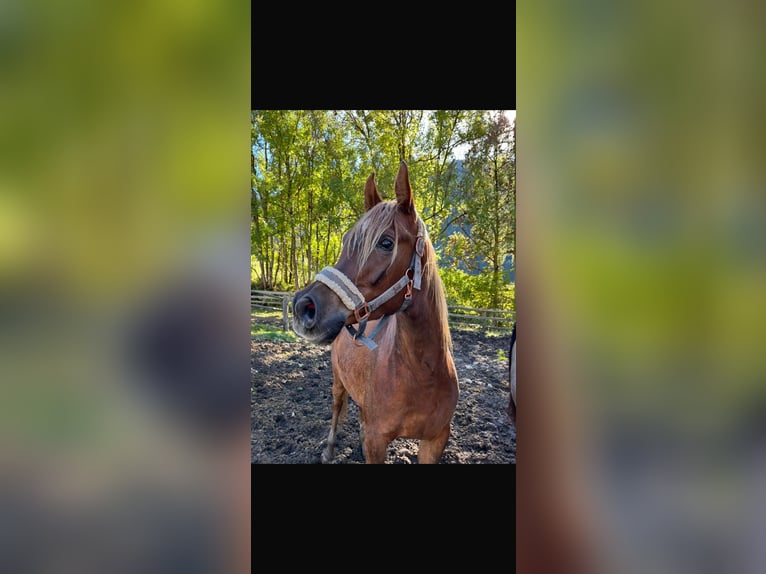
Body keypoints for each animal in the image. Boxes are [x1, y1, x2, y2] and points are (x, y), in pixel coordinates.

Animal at [291, 161, 459, 464]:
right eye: (346, 239)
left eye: (386, 243)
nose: (303, 306)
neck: (423, 374)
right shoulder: (377, 440)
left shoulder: (435, 440)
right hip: (338, 382)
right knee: (337, 408)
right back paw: (329, 449)